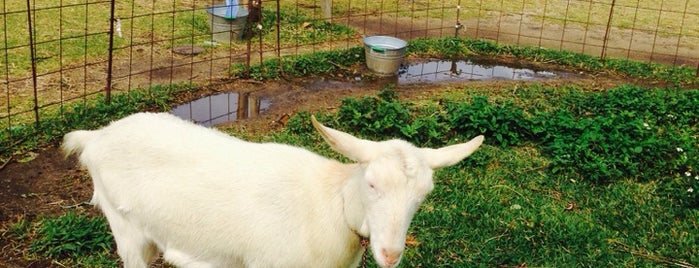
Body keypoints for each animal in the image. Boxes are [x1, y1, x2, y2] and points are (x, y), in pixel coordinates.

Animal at [63, 112, 484, 266]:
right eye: (371, 183)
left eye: (423, 196)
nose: (391, 254)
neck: (329, 205)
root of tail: (95, 138)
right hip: (124, 227)